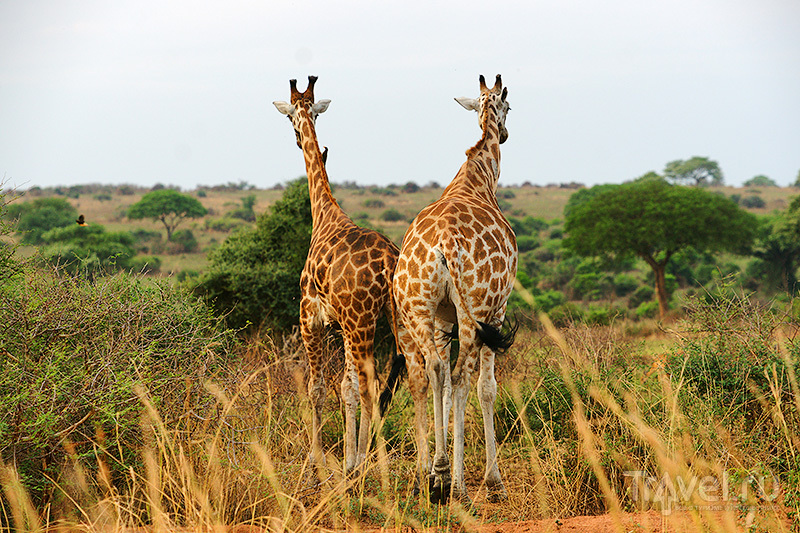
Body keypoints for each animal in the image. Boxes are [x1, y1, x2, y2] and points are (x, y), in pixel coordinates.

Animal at [276, 77, 404, 476]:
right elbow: (344, 387)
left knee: (370, 385)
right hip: (393, 317)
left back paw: (369, 465)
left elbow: (317, 387)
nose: (298, 138)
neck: (323, 213)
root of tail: (390, 263)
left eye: (291, 118)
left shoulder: (310, 315)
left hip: (361, 321)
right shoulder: (340, 322)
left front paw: (317, 460)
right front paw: (346, 458)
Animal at [390, 74, 516, 502]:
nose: (505, 133)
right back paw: (457, 481)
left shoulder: (444, 315)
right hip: (473, 308)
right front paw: (493, 480)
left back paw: (437, 472)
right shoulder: (498, 308)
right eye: (510, 106)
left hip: (418, 307)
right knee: (461, 378)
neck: (478, 178)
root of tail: (445, 242)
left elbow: (441, 381)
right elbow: (486, 388)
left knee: (435, 369)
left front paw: (436, 470)